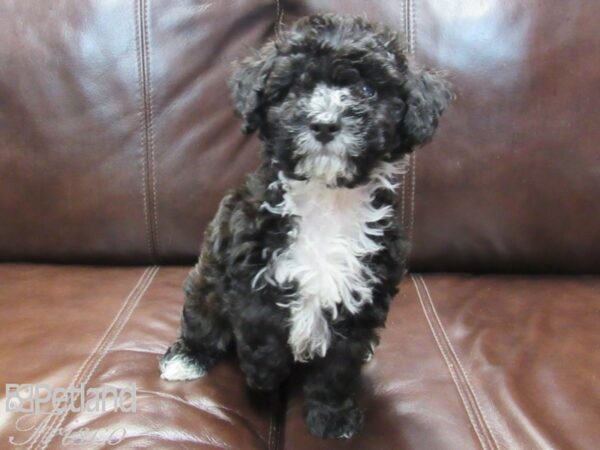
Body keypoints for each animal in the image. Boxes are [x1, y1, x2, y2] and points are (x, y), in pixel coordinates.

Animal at [159, 13, 450, 440]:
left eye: (367, 90)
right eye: (296, 87)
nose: (325, 124)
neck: (325, 197)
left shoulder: (364, 294)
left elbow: (338, 366)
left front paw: (332, 416)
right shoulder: (245, 264)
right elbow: (261, 326)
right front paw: (265, 374)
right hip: (205, 283)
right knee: (202, 321)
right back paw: (186, 358)